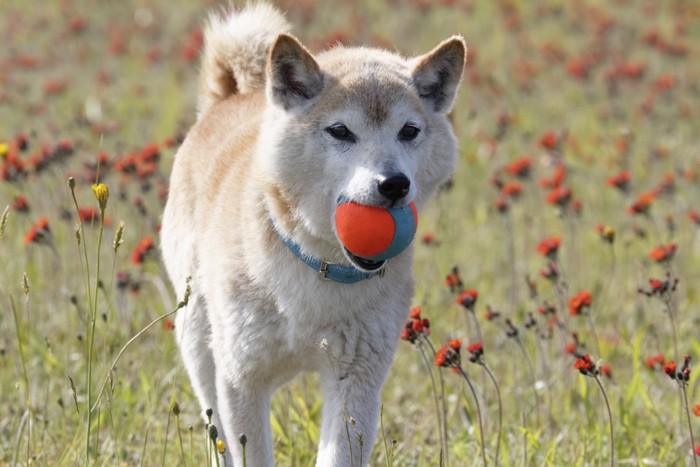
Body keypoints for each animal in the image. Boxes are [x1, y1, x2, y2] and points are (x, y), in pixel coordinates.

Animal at [162, 2, 468, 464]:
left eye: (408, 131)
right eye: (341, 131)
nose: (394, 184)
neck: (317, 267)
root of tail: (229, 99)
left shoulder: (357, 378)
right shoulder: (241, 376)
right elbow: (247, 450)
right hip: (200, 344)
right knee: (215, 432)